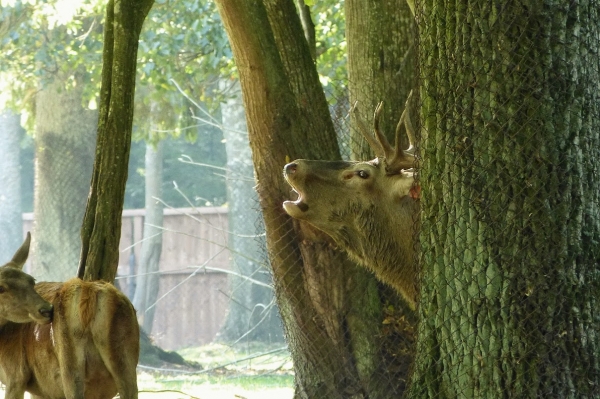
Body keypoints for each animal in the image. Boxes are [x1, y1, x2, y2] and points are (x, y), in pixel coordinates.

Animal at [0, 233, 139, 399]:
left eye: (31, 280)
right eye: (1, 288)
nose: (47, 309)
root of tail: (91, 292)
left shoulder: (16, 374)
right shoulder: (41, 390)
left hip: (69, 359)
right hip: (125, 357)